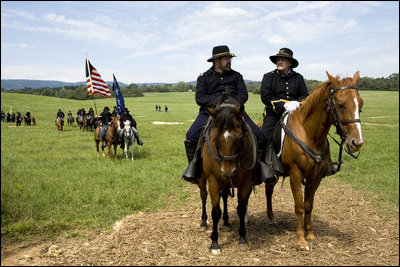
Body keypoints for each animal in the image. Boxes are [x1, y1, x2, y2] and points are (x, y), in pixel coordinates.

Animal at [199, 97, 256, 254]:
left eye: (241, 137)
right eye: (216, 138)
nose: (228, 170)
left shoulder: (246, 182)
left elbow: (241, 209)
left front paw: (242, 238)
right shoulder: (213, 181)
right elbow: (215, 211)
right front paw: (214, 242)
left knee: (224, 196)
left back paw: (226, 222)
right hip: (203, 179)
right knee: (203, 195)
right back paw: (203, 221)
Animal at [268, 71, 364, 251]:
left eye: (360, 105)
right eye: (341, 105)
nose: (357, 143)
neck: (310, 134)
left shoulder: (315, 176)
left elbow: (308, 205)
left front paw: (310, 234)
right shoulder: (295, 174)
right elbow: (299, 206)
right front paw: (301, 239)